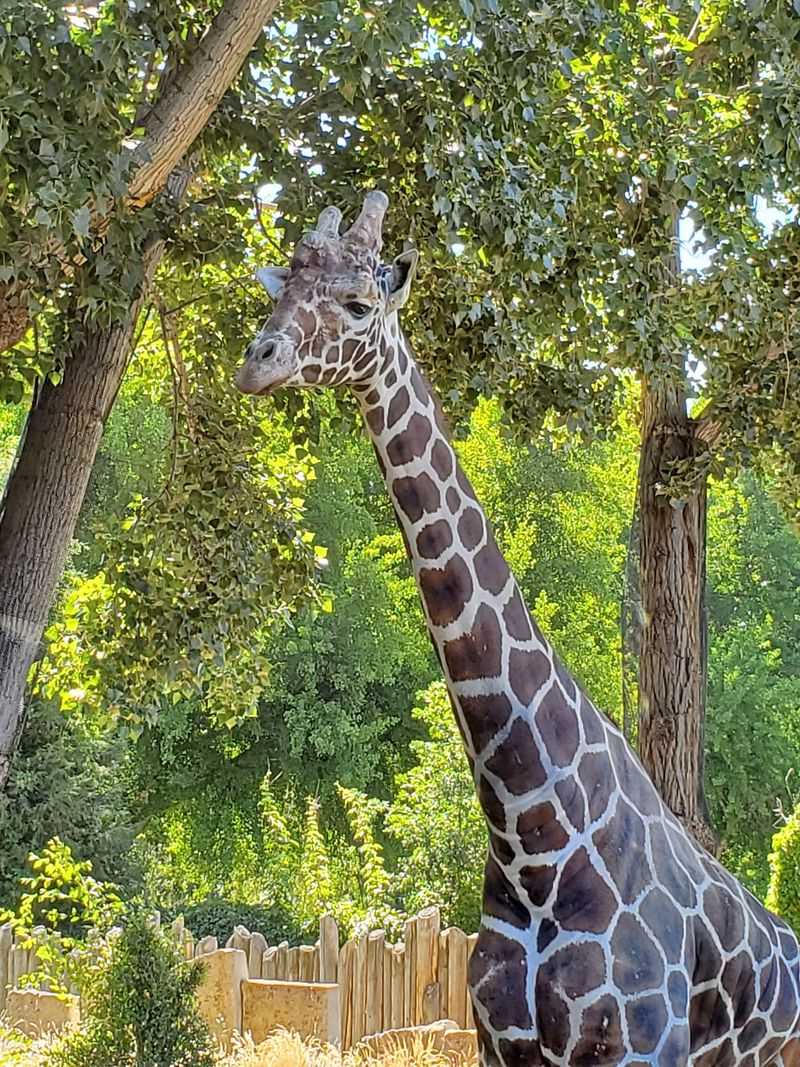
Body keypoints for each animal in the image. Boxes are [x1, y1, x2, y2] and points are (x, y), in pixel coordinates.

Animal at [235, 191, 800, 1066]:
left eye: (359, 303)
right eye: (280, 290)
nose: (257, 362)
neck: (533, 838)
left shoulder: (640, 1047)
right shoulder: (499, 1042)